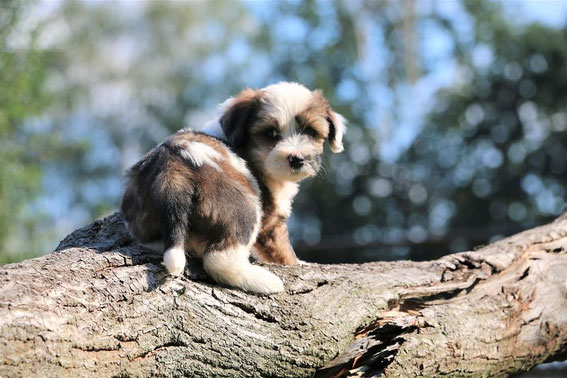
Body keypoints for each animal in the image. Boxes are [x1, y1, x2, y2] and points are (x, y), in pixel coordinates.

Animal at [121, 82, 346, 294]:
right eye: (271, 133)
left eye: (310, 131)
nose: (296, 159)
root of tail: (171, 169)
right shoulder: (271, 219)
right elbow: (282, 248)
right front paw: (298, 263)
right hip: (243, 206)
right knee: (220, 259)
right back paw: (264, 281)